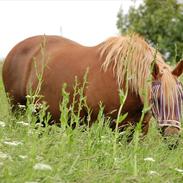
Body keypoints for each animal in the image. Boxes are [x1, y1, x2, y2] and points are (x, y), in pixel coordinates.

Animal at [2, 34, 183, 136]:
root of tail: (14, 50)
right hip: (17, 109)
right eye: (157, 99)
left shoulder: (139, 128)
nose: (173, 137)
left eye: (181, 98)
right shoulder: (108, 125)